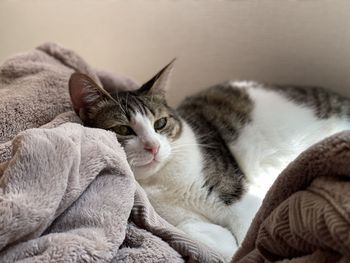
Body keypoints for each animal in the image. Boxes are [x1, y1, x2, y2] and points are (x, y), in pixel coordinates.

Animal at [67, 62, 350, 262]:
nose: (154, 146)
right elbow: (195, 232)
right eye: (124, 130)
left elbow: (248, 233)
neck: (161, 181)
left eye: (160, 124)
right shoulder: (175, 217)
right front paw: (224, 245)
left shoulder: (239, 195)